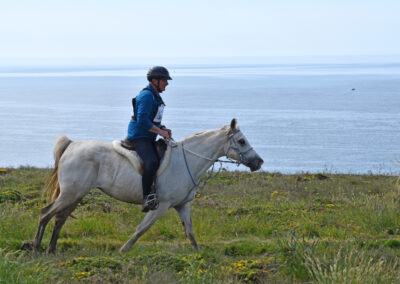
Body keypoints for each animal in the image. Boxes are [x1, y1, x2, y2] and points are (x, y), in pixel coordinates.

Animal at [21, 117, 262, 253]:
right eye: (241, 141)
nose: (259, 162)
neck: (187, 160)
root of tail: (72, 145)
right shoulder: (161, 205)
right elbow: (142, 228)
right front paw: (123, 249)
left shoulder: (182, 205)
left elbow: (190, 232)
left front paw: (199, 254)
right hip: (70, 194)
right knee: (45, 213)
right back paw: (36, 246)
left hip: (76, 195)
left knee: (59, 218)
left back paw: (51, 249)